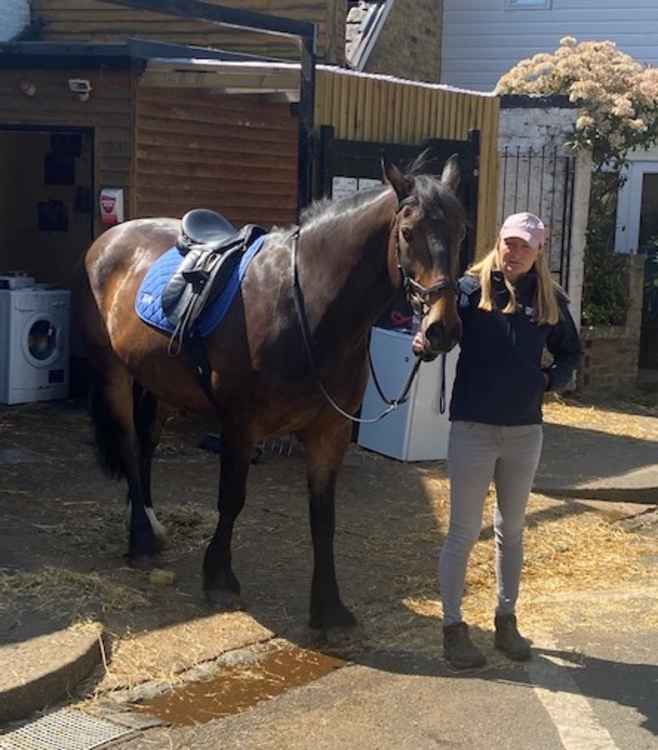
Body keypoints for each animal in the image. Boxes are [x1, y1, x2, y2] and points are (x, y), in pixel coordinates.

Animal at [79, 156, 464, 632]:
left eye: (460, 231)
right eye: (408, 232)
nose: (441, 329)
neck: (305, 306)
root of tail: (109, 239)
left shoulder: (329, 431)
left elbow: (323, 516)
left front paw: (328, 607)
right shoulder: (240, 425)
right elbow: (232, 499)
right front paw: (220, 578)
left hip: (156, 379)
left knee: (147, 444)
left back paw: (149, 519)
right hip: (114, 373)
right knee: (131, 448)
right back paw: (141, 540)